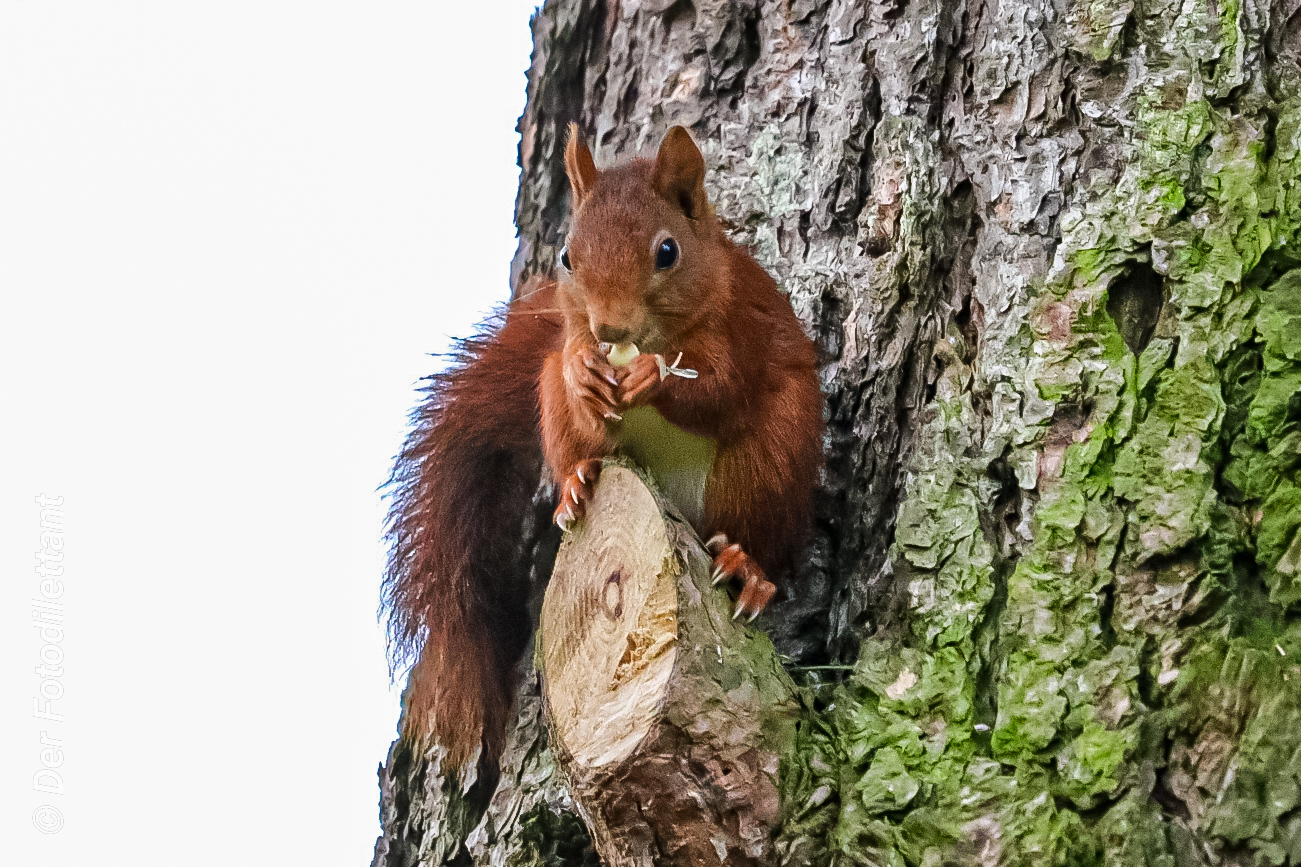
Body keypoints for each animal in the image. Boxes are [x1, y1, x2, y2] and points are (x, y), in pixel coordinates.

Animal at [379, 124, 822, 770]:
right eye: (567, 257)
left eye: (667, 252)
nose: (608, 330)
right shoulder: (569, 338)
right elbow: (570, 363)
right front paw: (584, 371)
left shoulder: (741, 326)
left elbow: (721, 386)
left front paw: (653, 376)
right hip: (556, 414)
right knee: (568, 433)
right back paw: (575, 483)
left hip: (772, 456)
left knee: (757, 525)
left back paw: (748, 568)